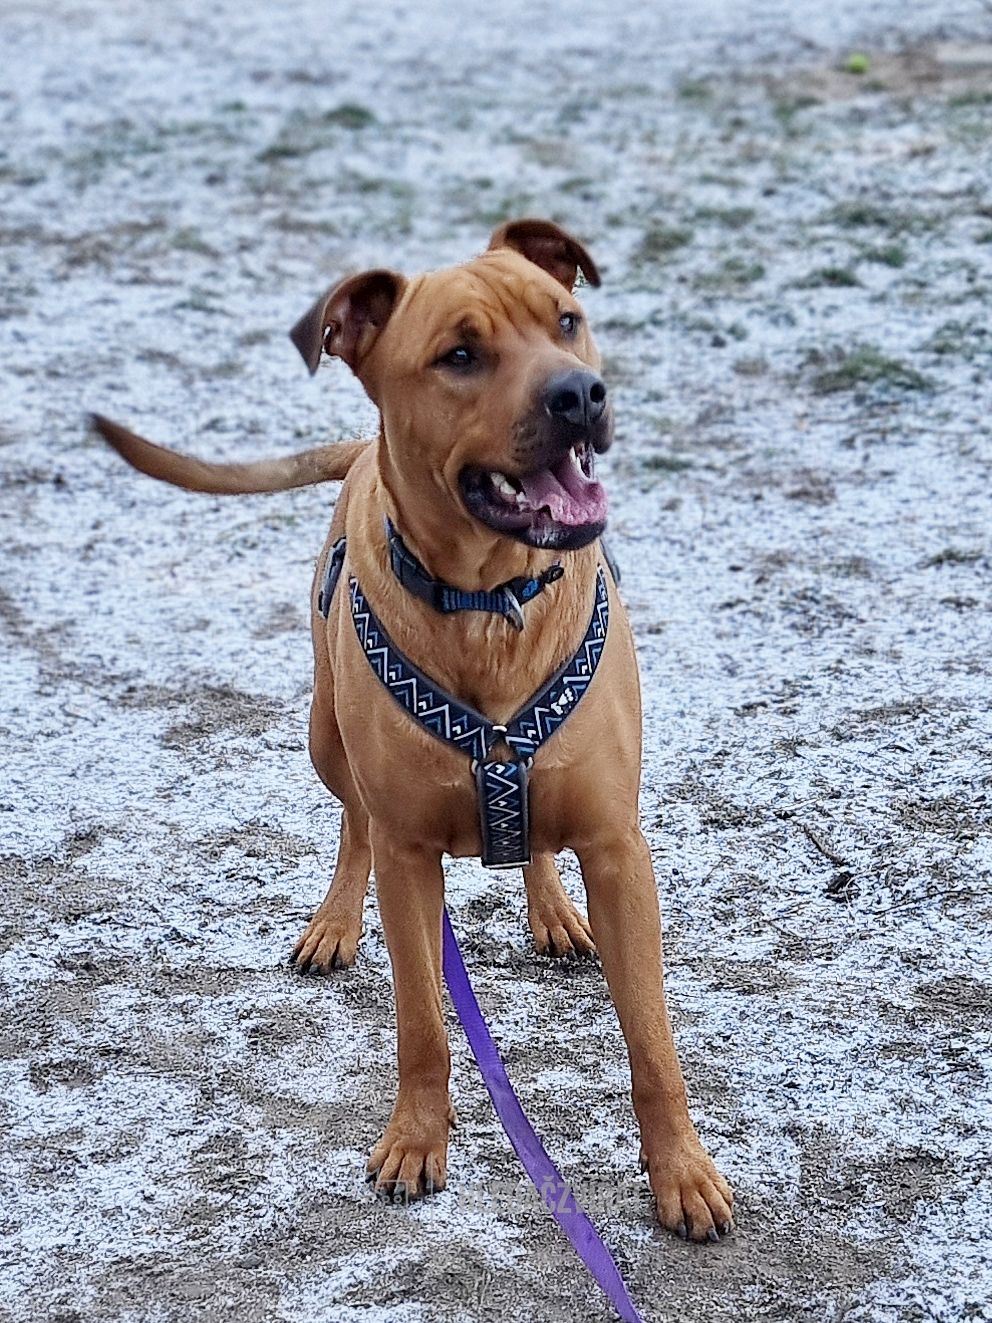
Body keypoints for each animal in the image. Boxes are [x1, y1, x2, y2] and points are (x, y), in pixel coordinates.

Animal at [92, 219, 734, 1242]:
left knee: (531, 842)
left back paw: (554, 909)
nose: (579, 394)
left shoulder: (618, 846)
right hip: (324, 735)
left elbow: (652, 1039)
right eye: (459, 355)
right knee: (352, 817)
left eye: (567, 320)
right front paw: (416, 1139)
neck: (491, 604)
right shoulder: (406, 855)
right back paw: (332, 922)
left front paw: (683, 1171)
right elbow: (424, 1022)